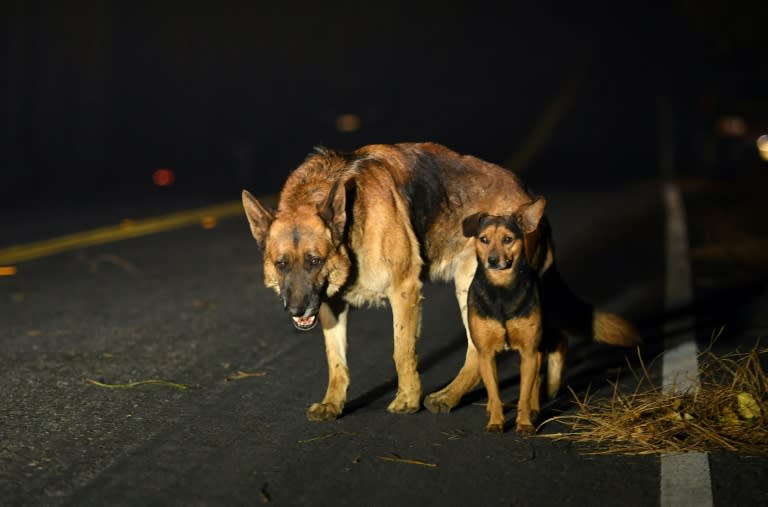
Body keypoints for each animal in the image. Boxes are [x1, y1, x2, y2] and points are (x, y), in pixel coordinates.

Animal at [240, 142, 636, 420]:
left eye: (314, 260)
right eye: (281, 264)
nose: (296, 310)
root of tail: (529, 199)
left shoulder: (404, 290)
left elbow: (401, 351)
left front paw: (407, 399)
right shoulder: (330, 305)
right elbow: (335, 361)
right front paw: (333, 403)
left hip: (470, 284)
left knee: (483, 350)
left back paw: (453, 397)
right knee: (543, 340)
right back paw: (540, 391)